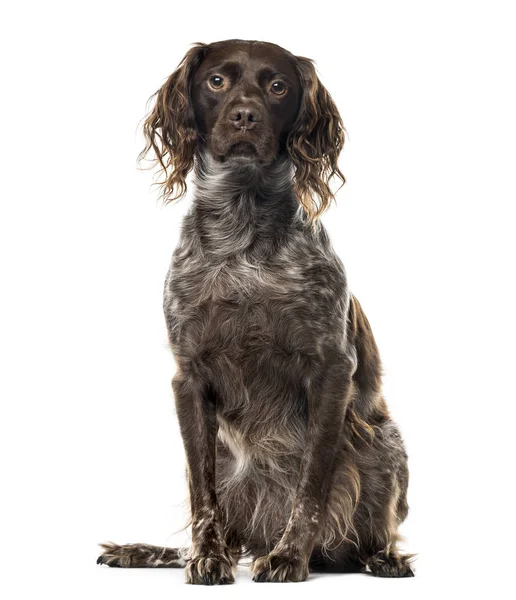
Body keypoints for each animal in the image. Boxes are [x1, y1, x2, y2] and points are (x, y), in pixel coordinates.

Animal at [97, 39, 414, 584]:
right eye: (216, 81)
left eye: (278, 86)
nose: (244, 116)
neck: (241, 227)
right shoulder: (189, 376)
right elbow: (203, 497)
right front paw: (206, 558)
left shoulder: (331, 370)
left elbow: (310, 487)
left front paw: (289, 557)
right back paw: (150, 552)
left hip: (383, 443)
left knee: (370, 534)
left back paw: (381, 559)